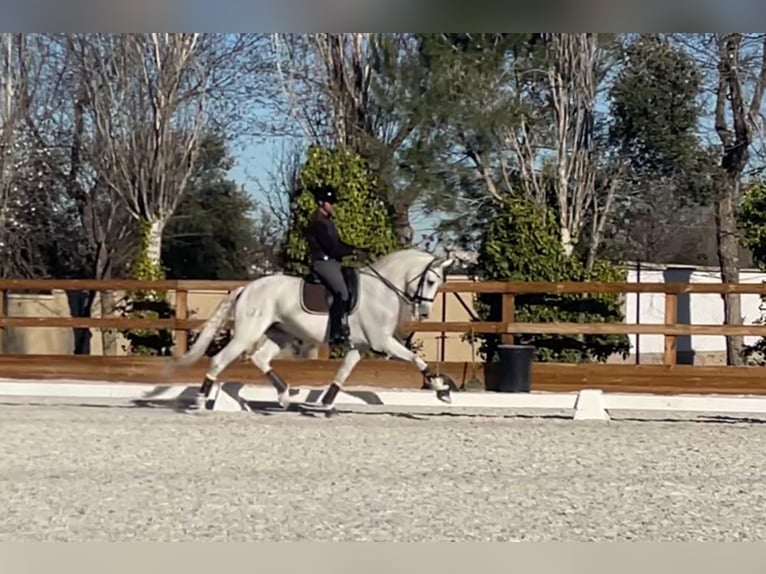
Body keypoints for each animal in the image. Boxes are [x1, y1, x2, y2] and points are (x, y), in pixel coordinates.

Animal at [171, 248, 460, 414]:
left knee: (260, 359)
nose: (424, 313)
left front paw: (325, 403)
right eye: (430, 281)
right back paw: (201, 401)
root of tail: (247, 288)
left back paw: (284, 396)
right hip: (248, 334)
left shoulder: (360, 346)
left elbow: (342, 374)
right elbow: (415, 358)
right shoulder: (383, 342)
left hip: (279, 334)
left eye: (438, 284)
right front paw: (441, 390)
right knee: (220, 359)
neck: (382, 289)